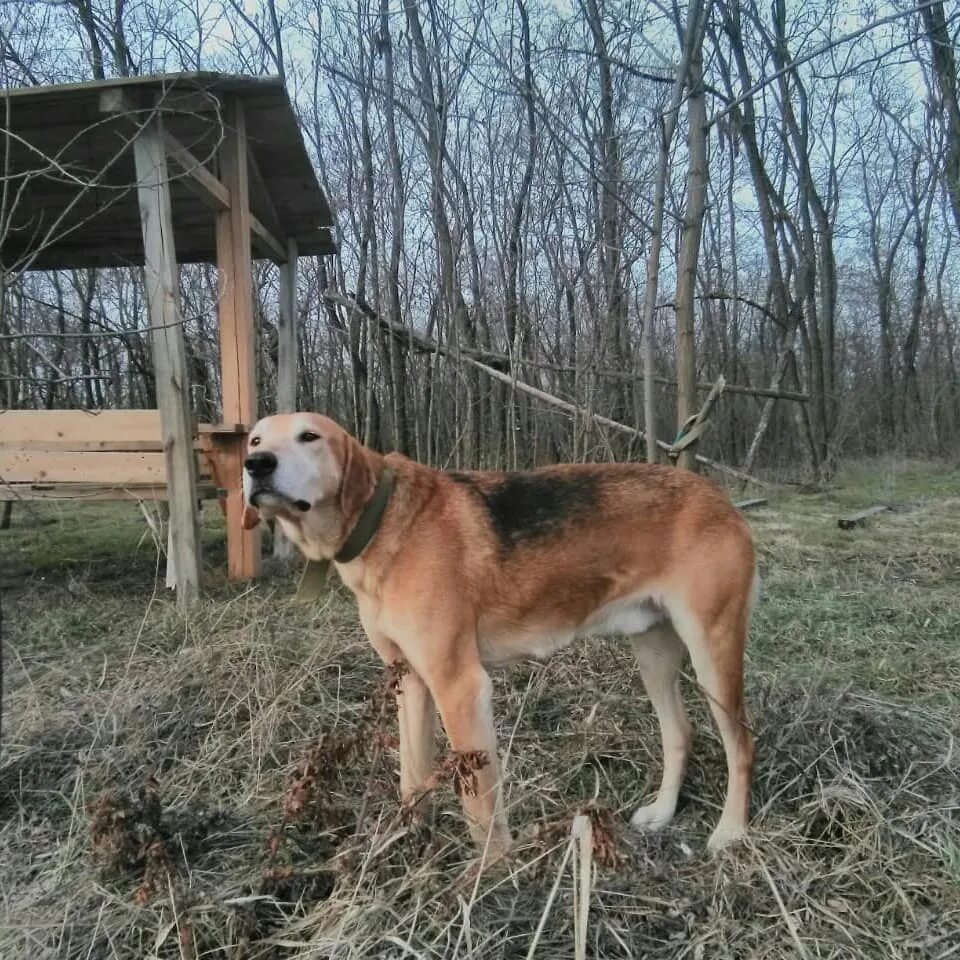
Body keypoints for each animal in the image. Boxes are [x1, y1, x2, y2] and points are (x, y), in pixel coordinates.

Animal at [240, 412, 756, 864]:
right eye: (255, 440)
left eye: (309, 436)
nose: (256, 465)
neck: (384, 521)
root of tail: (718, 497)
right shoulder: (411, 682)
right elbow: (412, 776)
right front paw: (407, 842)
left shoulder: (460, 687)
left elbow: (480, 805)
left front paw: (493, 872)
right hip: (653, 652)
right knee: (680, 733)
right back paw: (663, 813)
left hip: (713, 652)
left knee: (741, 745)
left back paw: (730, 832)